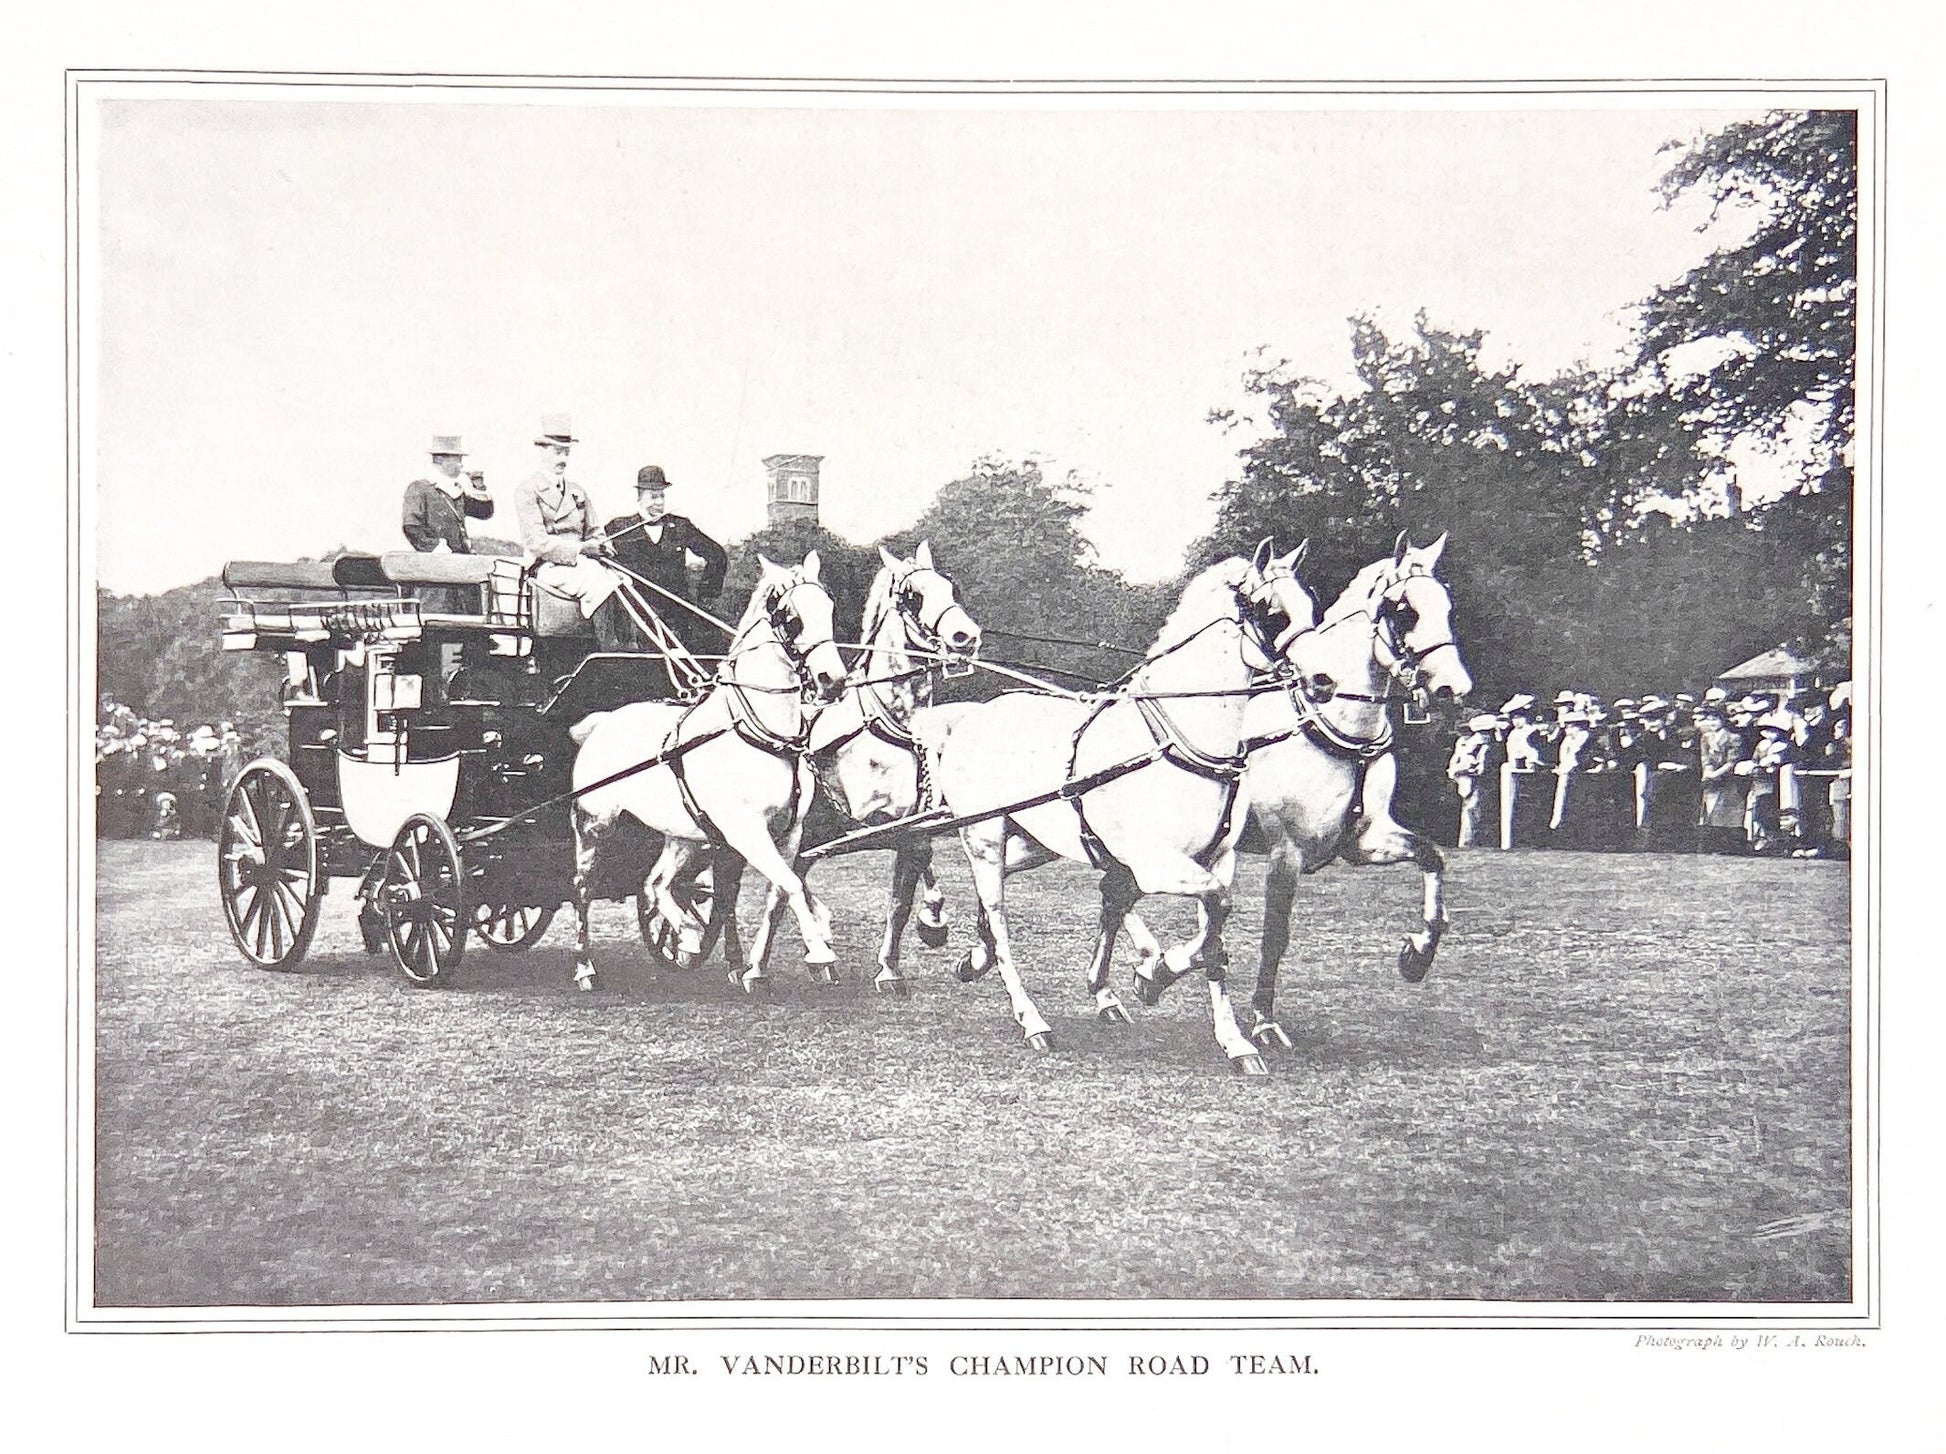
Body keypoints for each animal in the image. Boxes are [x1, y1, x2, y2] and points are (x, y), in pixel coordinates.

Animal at [556, 552, 844, 996]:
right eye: (791, 617)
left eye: (828, 607)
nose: (834, 681)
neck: (758, 734)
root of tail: (601, 723)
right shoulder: (746, 831)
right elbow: (790, 885)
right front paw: (819, 953)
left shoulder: (789, 833)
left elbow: (778, 893)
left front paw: (755, 968)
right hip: (593, 824)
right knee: (582, 889)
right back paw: (586, 967)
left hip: (682, 836)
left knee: (656, 883)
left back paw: (688, 937)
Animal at [716, 541, 980, 996]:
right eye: (913, 597)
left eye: (953, 589)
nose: (965, 638)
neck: (886, 728)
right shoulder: (837, 829)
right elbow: (779, 895)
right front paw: (759, 967)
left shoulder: (908, 830)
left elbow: (901, 899)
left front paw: (898, 958)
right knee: (736, 886)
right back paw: (740, 960)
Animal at [914, 541, 1323, 1074]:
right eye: (1273, 614)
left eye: (1313, 605)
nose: (1323, 682)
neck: (1176, 742)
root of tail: (973, 716)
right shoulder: (1156, 863)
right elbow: (1214, 909)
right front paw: (1157, 974)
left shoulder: (1218, 859)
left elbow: (1213, 934)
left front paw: (1234, 1041)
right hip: (984, 835)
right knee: (999, 915)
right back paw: (1031, 1019)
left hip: (1037, 841)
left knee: (999, 890)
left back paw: (975, 958)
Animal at [1128, 529, 1471, 1051]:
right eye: (1404, 610)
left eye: (1447, 606)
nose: (1456, 689)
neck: (1333, 728)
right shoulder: (1284, 852)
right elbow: (1275, 935)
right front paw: (1263, 1021)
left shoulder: (1364, 841)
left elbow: (1432, 858)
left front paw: (1417, 954)